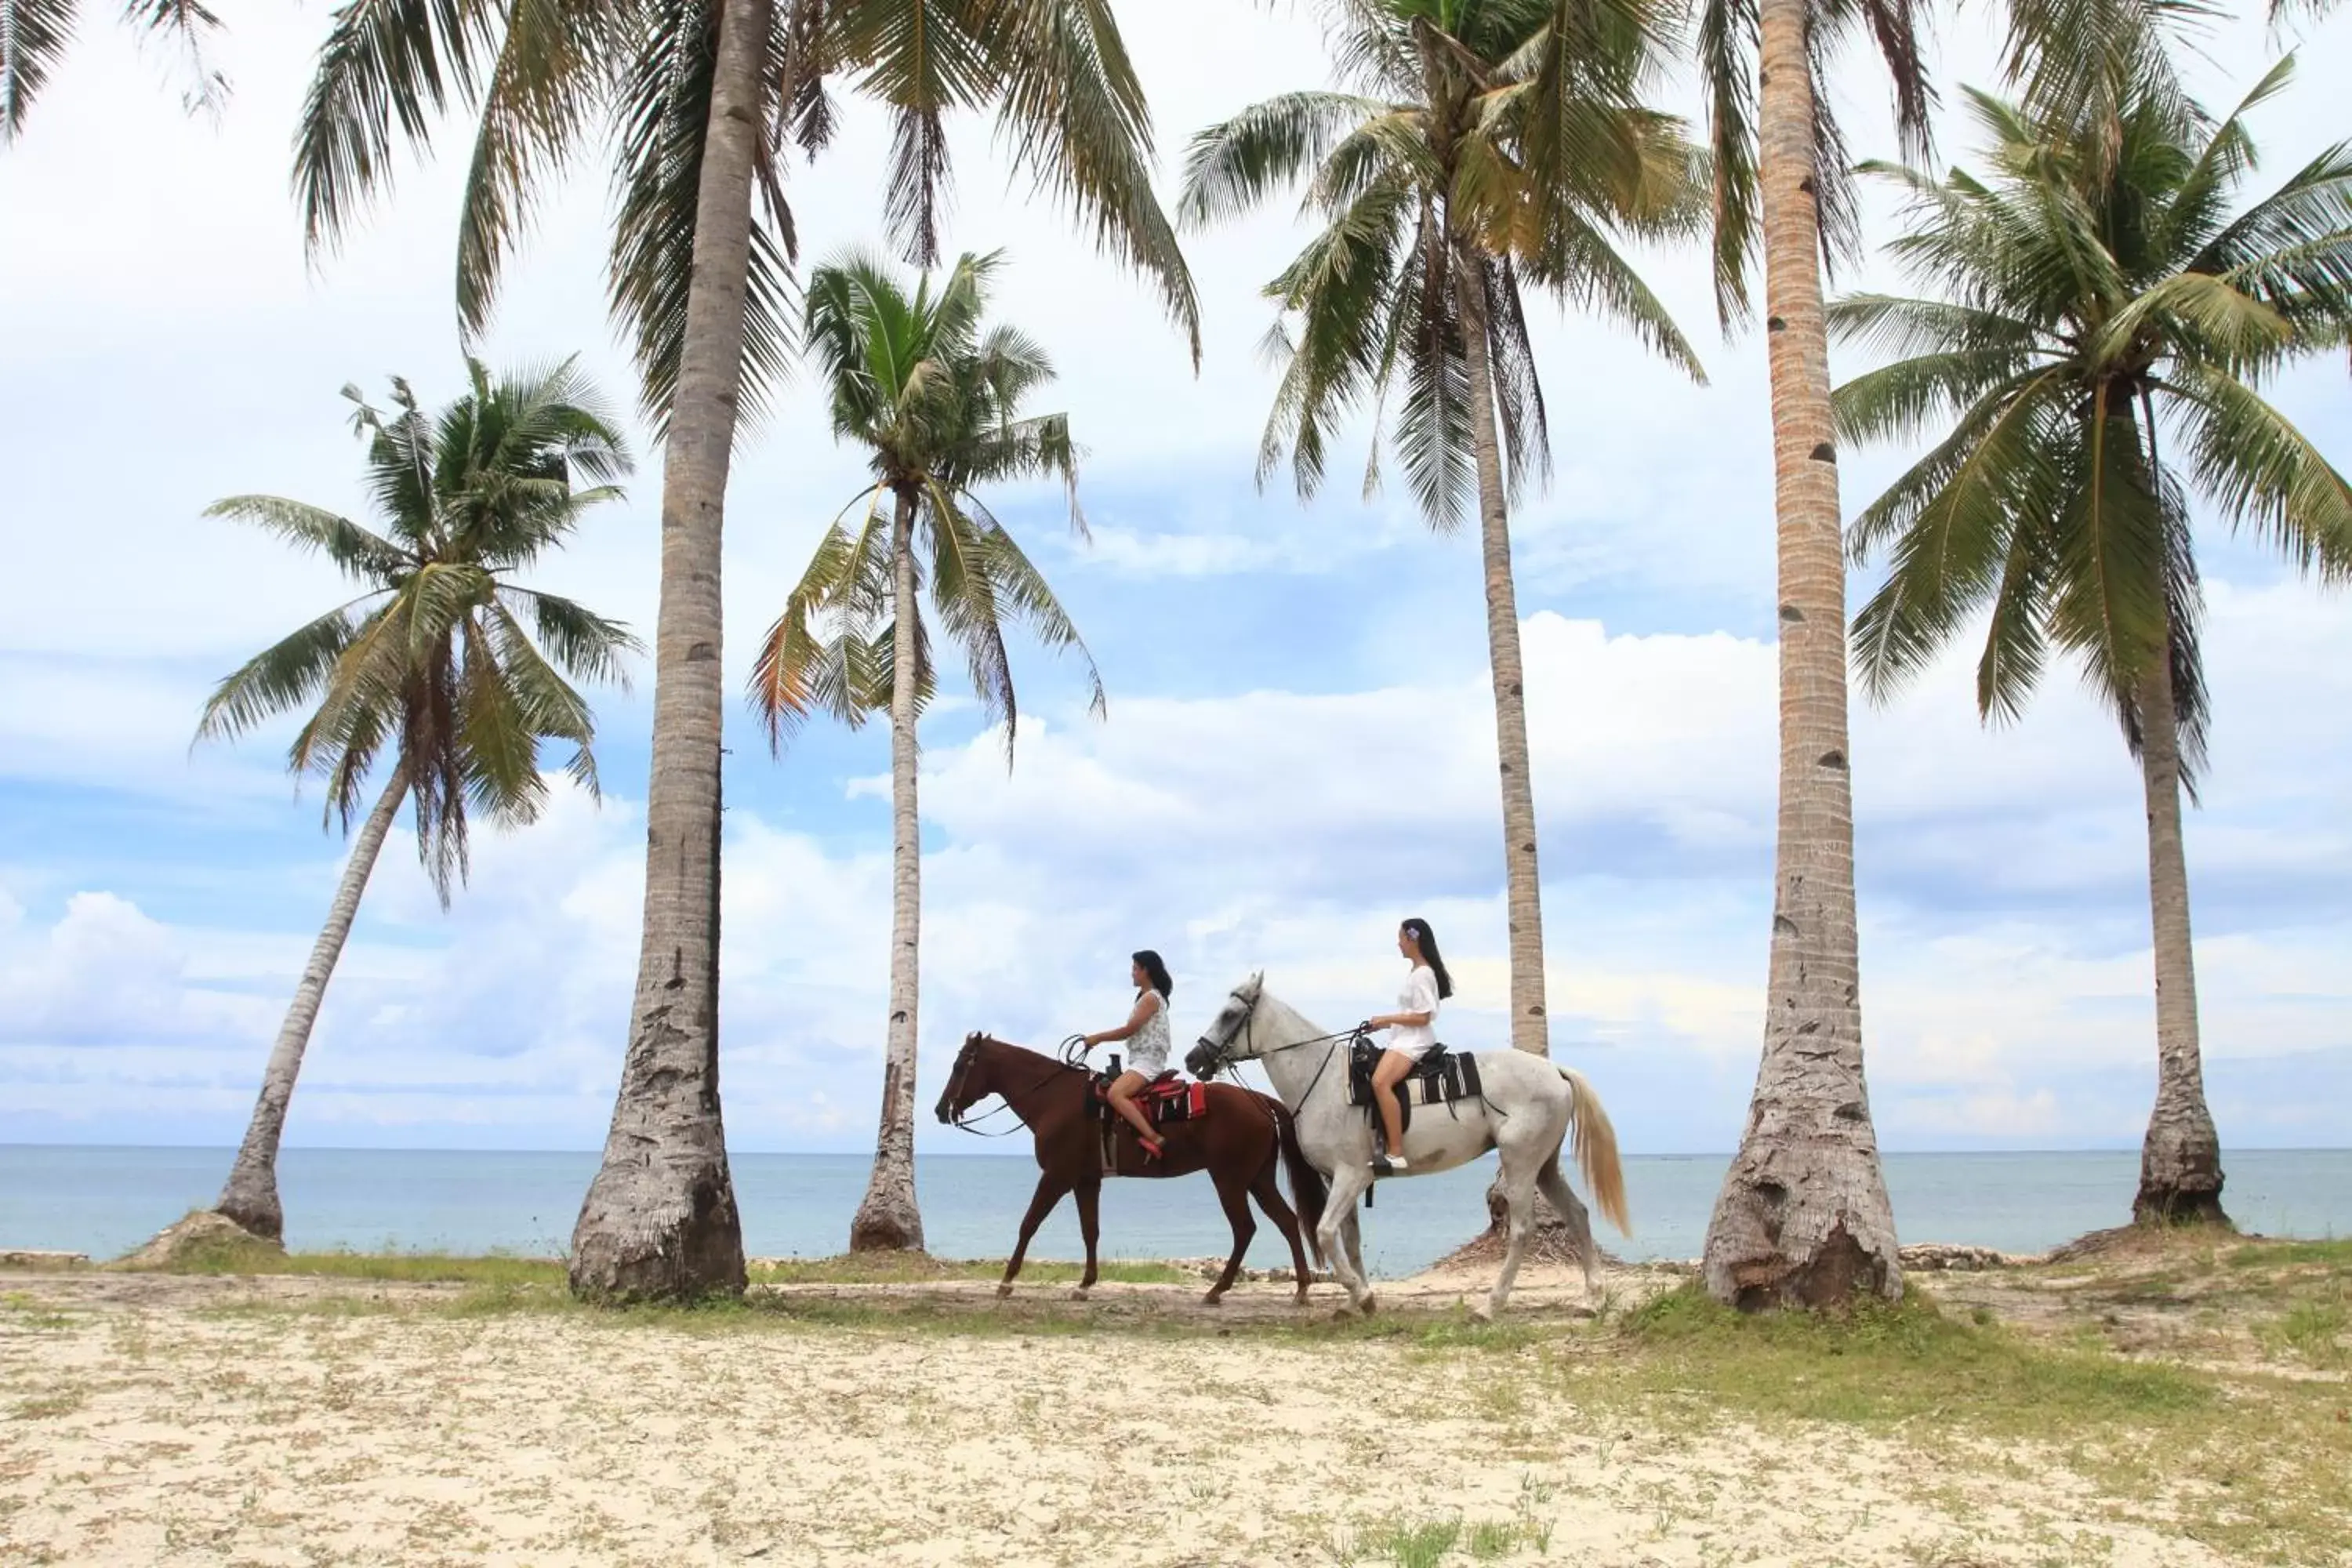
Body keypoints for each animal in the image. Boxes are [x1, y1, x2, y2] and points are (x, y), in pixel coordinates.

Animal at [941, 1034, 1345, 1307]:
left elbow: (1029, 1223)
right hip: (1257, 1179)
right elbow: (1090, 1231)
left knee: (1245, 1228)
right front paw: (1085, 1285)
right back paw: (1300, 1289)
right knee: (1287, 1221)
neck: (1055, 1099)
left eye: (960, 1066)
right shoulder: (1086, 1181)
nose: (940, 1110)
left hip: (1230, 1180)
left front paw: (1007, 1282)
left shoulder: (1056, 1176)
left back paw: (1218, 1290)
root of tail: (1258, 1100)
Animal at [1185, 973, 1628, 1316]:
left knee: (1521, 1230)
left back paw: (1490, 1306)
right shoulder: (1343, 1181)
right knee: (1577, 1214)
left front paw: (1361, 1295)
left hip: (1520, 1166)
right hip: (1545, 1166)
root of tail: (1555, 1071)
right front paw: (1356, 1303)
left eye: (1229, 1014)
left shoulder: (1350, 1176)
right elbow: (1349, 1240)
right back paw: (1591, 1300)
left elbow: (1326, 1234)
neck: (1325, 1080)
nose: (1193, 1060)